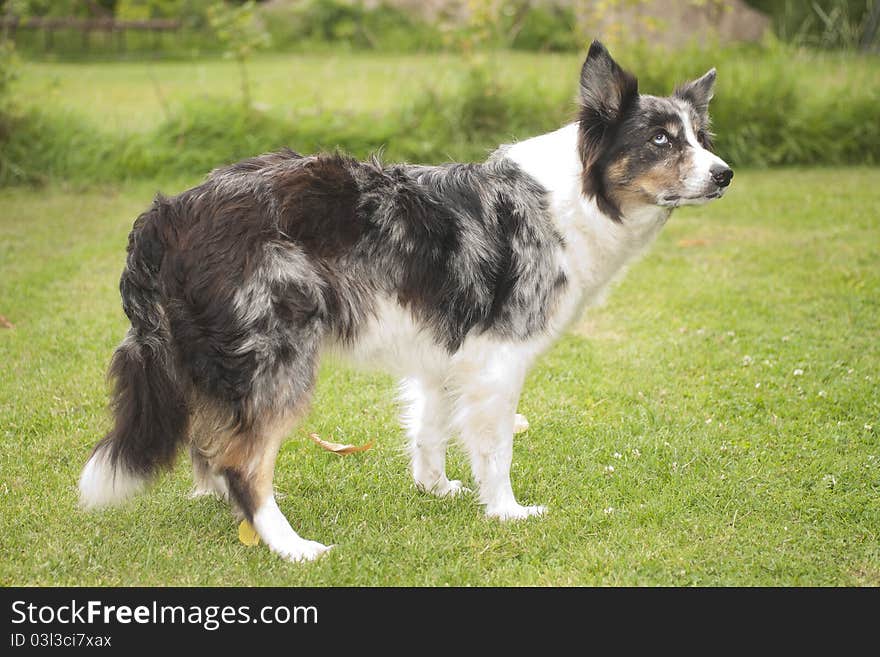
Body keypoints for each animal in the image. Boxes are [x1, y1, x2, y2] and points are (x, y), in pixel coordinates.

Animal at [79, 41, 732, 560]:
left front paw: (435, 488)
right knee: (244, 460)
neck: (573, 197)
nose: (725, 174)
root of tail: (168, 213)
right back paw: (287, 544)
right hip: (278, 356)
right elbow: (495, 448)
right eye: (660, 140)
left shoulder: (446, 349)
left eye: (700, 139)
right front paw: (506, 512)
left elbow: (431, 426)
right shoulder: (499, 358)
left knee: (212, 442)